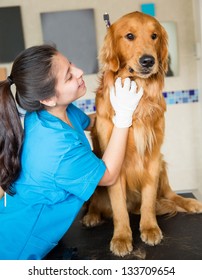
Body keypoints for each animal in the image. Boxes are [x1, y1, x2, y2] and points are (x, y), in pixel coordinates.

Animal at [82, 10, 202, 256]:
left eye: (154, 36)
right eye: (129, 36)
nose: (148, 61)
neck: (139, 98)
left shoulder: (153, 156)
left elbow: (148, 199)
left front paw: (150, 229)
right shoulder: (114, 163)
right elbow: (119, 208)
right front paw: (121, 238)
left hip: (163, 165)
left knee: (169, 194)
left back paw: (191, 203)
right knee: (98, 203)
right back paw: (92, 216)